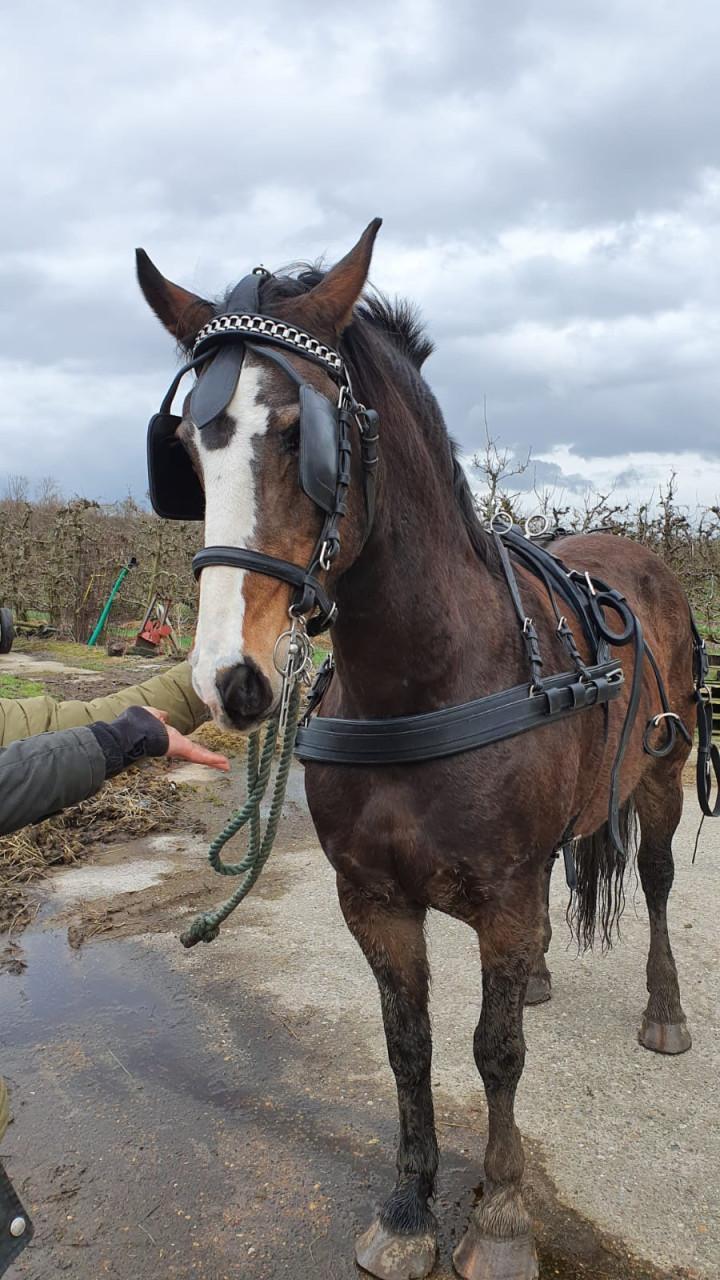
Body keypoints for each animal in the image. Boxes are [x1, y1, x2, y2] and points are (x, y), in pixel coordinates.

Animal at [137, 220, 698, 1280]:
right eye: (187, 444)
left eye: (299, 434)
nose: (231, 679)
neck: (424, 679)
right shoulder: (374, 900)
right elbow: (412, 1046)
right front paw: (407, 1209)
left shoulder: (503, 892)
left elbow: (495, 1053)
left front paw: (503, 1214)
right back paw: (544, 974)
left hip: (661, 776)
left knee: (651, 884)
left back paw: (664, 1009)